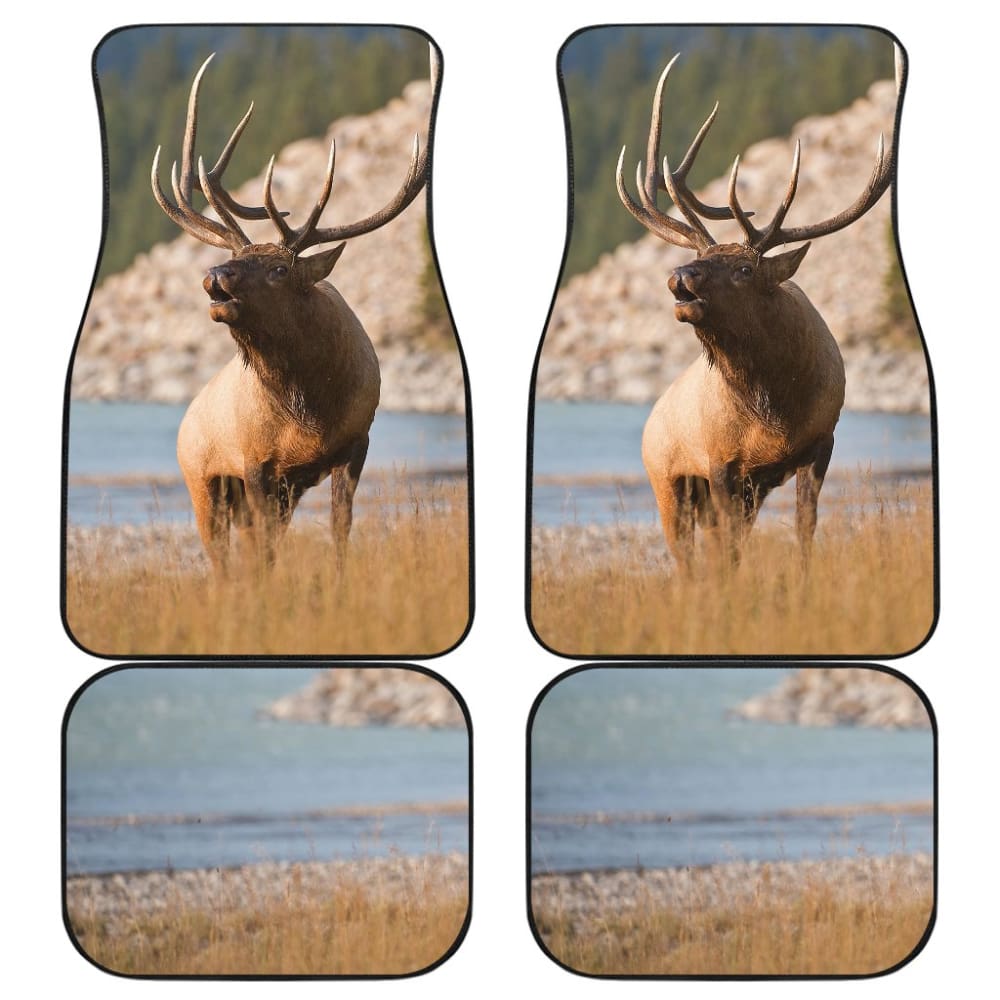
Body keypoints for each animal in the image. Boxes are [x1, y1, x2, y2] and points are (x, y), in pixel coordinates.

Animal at [150, 49, 439, 572]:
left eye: (280, 270)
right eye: (239, 257)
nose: (214, 275)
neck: (310, 414)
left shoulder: (353, 444)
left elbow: (339, 529)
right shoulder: (255, 463)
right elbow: (264, 552)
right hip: (203, 480)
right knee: (221, 557)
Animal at [616, 53, 894, 570]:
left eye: (745, 268)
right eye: (702, 258)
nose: (680, 274)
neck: (776, 414)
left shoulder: (818, 443)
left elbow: (804, 529)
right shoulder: (721, 463)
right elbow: (727, 553)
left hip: (736, 492)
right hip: (669, 480)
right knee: (686, 557)